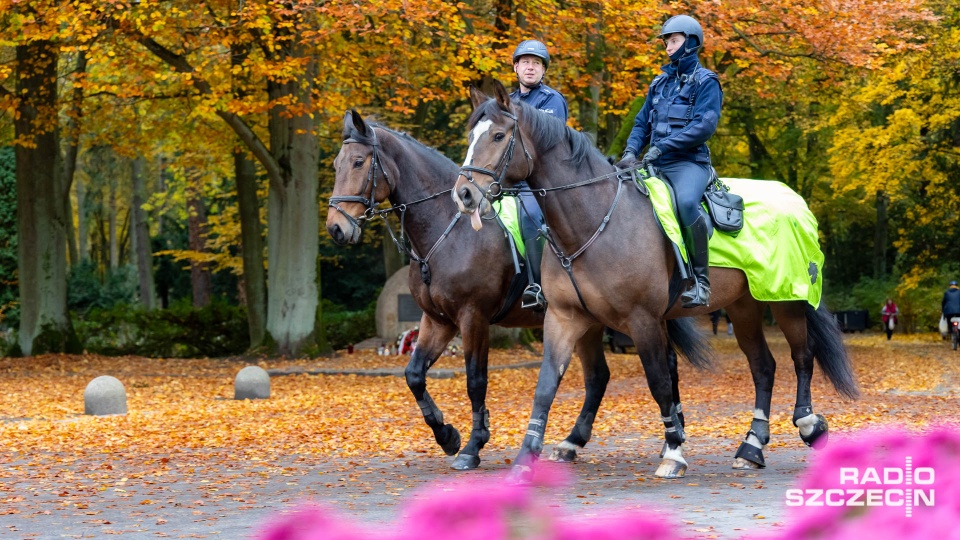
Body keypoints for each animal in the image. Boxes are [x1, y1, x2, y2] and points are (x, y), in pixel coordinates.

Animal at [326, 112, 708, 470]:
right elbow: (414, 375)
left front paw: (473, 445)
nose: (336, 227)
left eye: (358, 162)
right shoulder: (437, 320)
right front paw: (447, 435)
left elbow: (475, 380)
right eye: (335, 165)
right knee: (626, 371)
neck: (449, 229)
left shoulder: (473, 318)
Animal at [452, 83, 864, 480]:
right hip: (743, 307)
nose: (464, 194)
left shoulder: (643, 320)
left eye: (499, 136)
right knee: (763, 366)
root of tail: (794, 200)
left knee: (802, 356)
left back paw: (808, 424)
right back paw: (751, 447)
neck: (594, 219)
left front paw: (674, 453)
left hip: (786, 300)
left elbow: (660, 382)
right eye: (471, 135)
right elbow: (546, 387)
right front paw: (525, 458)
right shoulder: (565, 318)